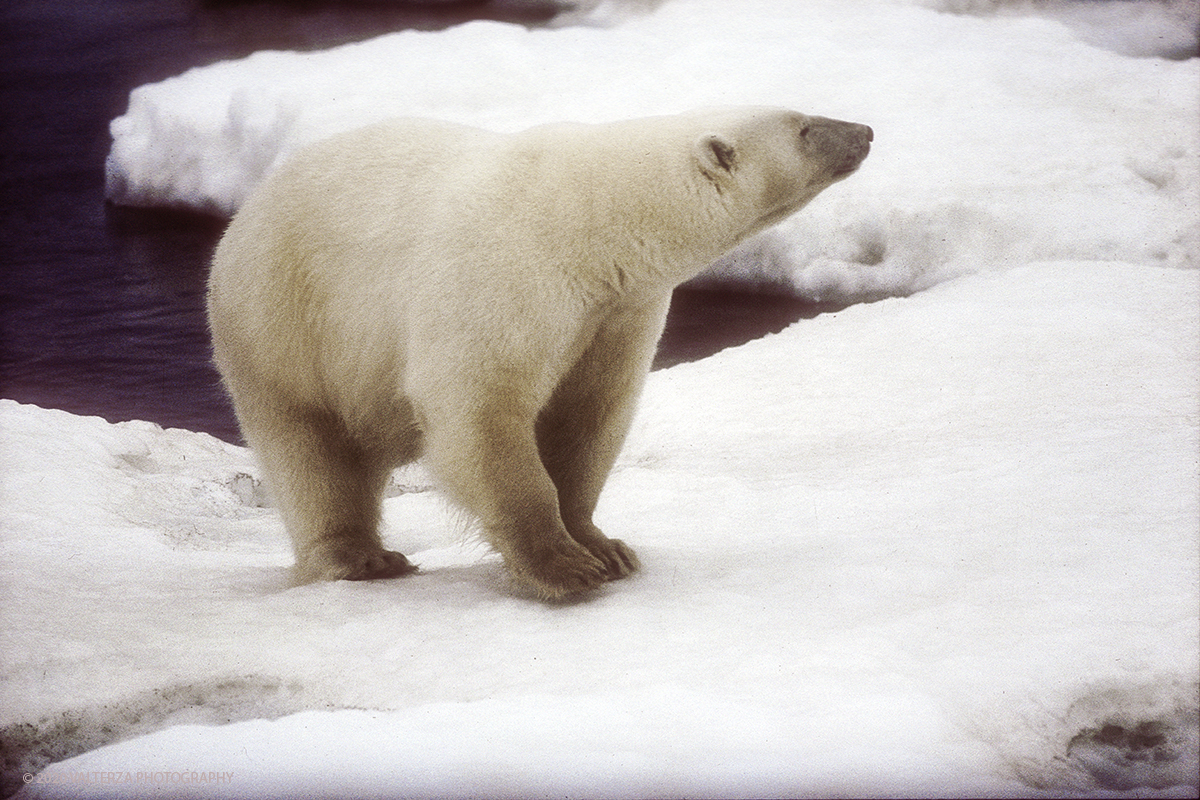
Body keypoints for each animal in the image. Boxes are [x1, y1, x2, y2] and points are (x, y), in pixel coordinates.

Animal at [208, 106, 873, 597]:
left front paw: (605, 547)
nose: (865, 132)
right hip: (282, 324)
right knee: (311, 448)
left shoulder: (616, 314)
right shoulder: (505, 277)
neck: (591, 222)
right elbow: (482, 412)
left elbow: (587, 416)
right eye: (804, 127)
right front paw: (563, 566)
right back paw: (360, 558)